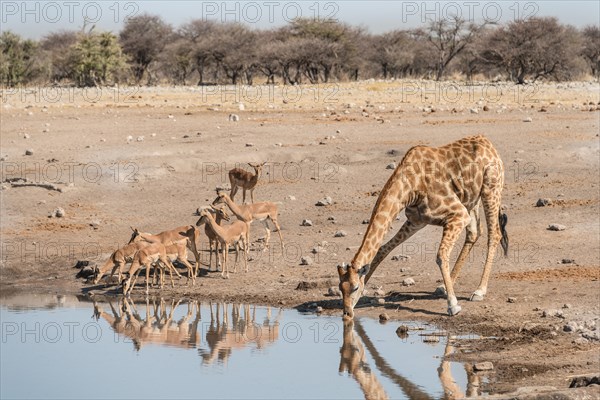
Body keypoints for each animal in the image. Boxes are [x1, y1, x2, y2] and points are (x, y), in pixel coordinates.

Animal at [338, 135, 506, 318]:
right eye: (340, 288)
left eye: (354, 288)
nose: (347, 313)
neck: (410, 186)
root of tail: (488, 143)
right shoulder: (417, 221)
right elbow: (382, 250)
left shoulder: (458, 214)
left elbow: (441, 255)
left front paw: (453, 305)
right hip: (470, 199)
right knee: (474, 233)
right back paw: (442, 287)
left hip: (491, 188)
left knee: (494, 234)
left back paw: (479, 291)